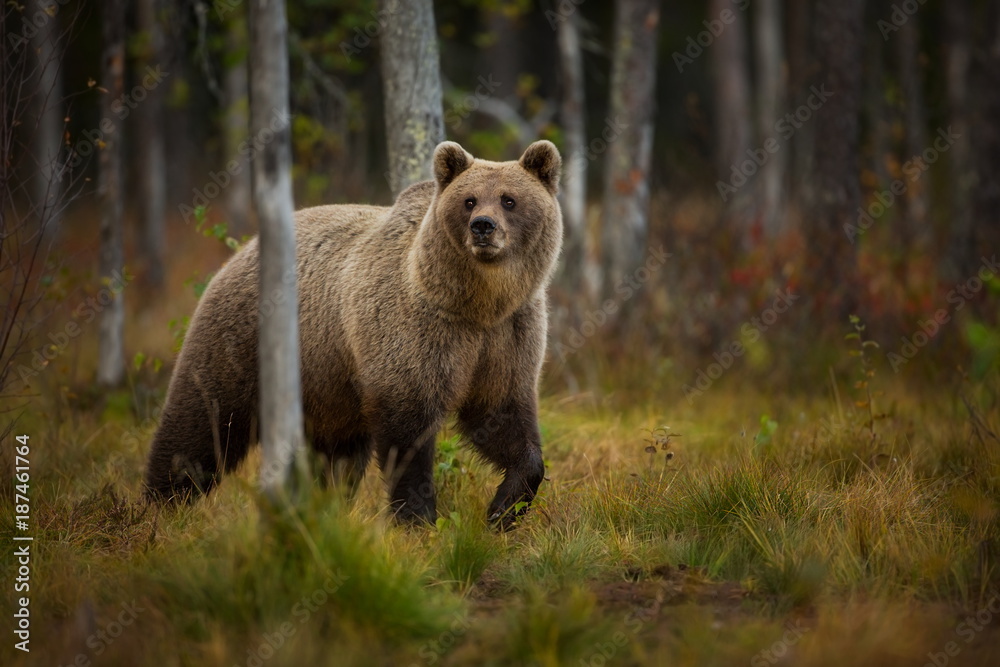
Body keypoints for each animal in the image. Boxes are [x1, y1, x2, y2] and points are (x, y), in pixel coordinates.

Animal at [144, 140, 563, 527]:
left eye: (509, 200)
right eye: (469, 200)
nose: (483, 227)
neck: (478, 302)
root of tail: (240, 251)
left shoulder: (506, 337)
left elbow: (502, 419)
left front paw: (503, 509)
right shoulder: (416, 332)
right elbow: (408, 434)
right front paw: (418, 517)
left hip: (328, 386)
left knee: (336, 456)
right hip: (241, 340)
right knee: (202, 424)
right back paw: (160, 505)